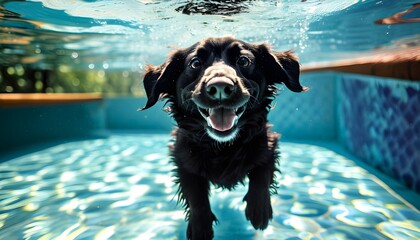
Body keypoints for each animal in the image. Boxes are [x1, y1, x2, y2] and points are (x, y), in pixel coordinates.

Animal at [140, 36, 306, 239]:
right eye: (195, 63)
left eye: (243, 60)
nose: (219, 87)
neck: (222, 147)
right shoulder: (183, 160)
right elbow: (196, 196)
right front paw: (200, 226)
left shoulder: (268, 144)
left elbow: (262, 174)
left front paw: (259, 209)